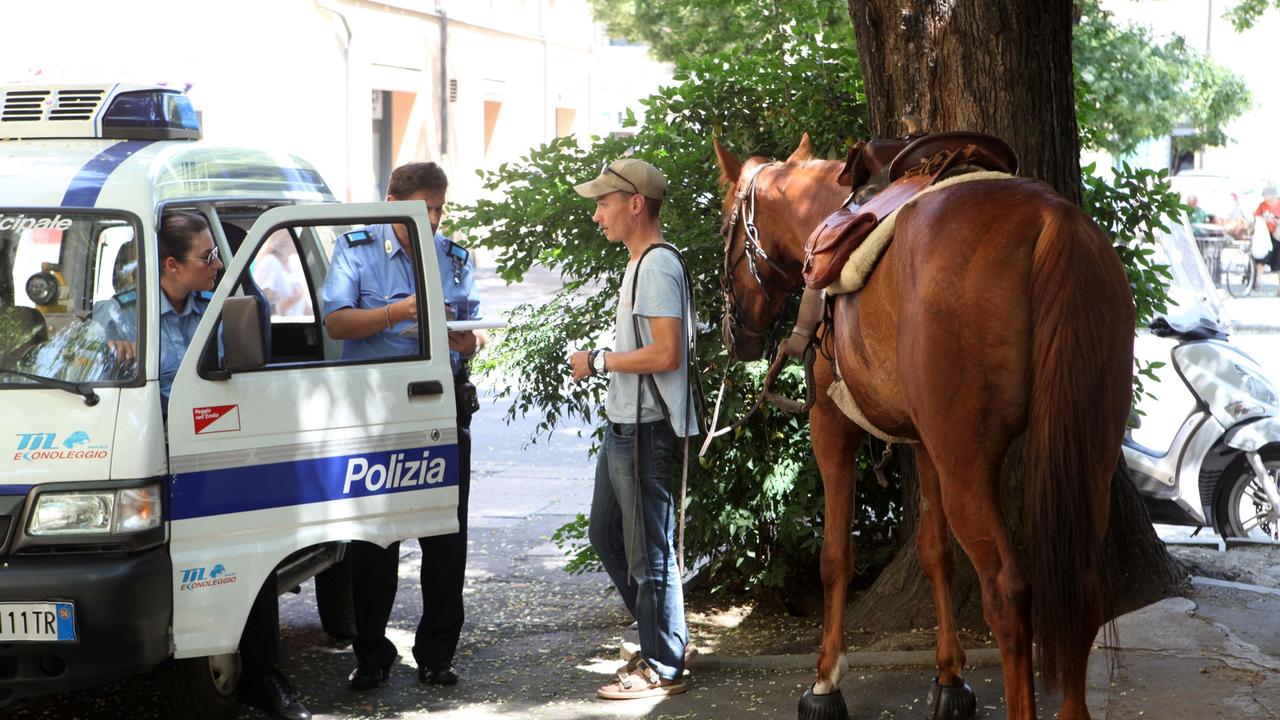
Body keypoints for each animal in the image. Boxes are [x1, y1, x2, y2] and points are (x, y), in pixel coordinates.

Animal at [712, 134, 1134, 720]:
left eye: (723, 228)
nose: (734, 331)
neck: (824, 213)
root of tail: (1052, 220)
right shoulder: (924, 444)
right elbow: (935, 552)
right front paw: (949, 677)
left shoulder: (831, 426)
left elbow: (835, 556)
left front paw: (825, 680)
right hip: (1089, 451)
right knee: (1084, 584)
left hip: (968, 465)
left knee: (1007, 592)